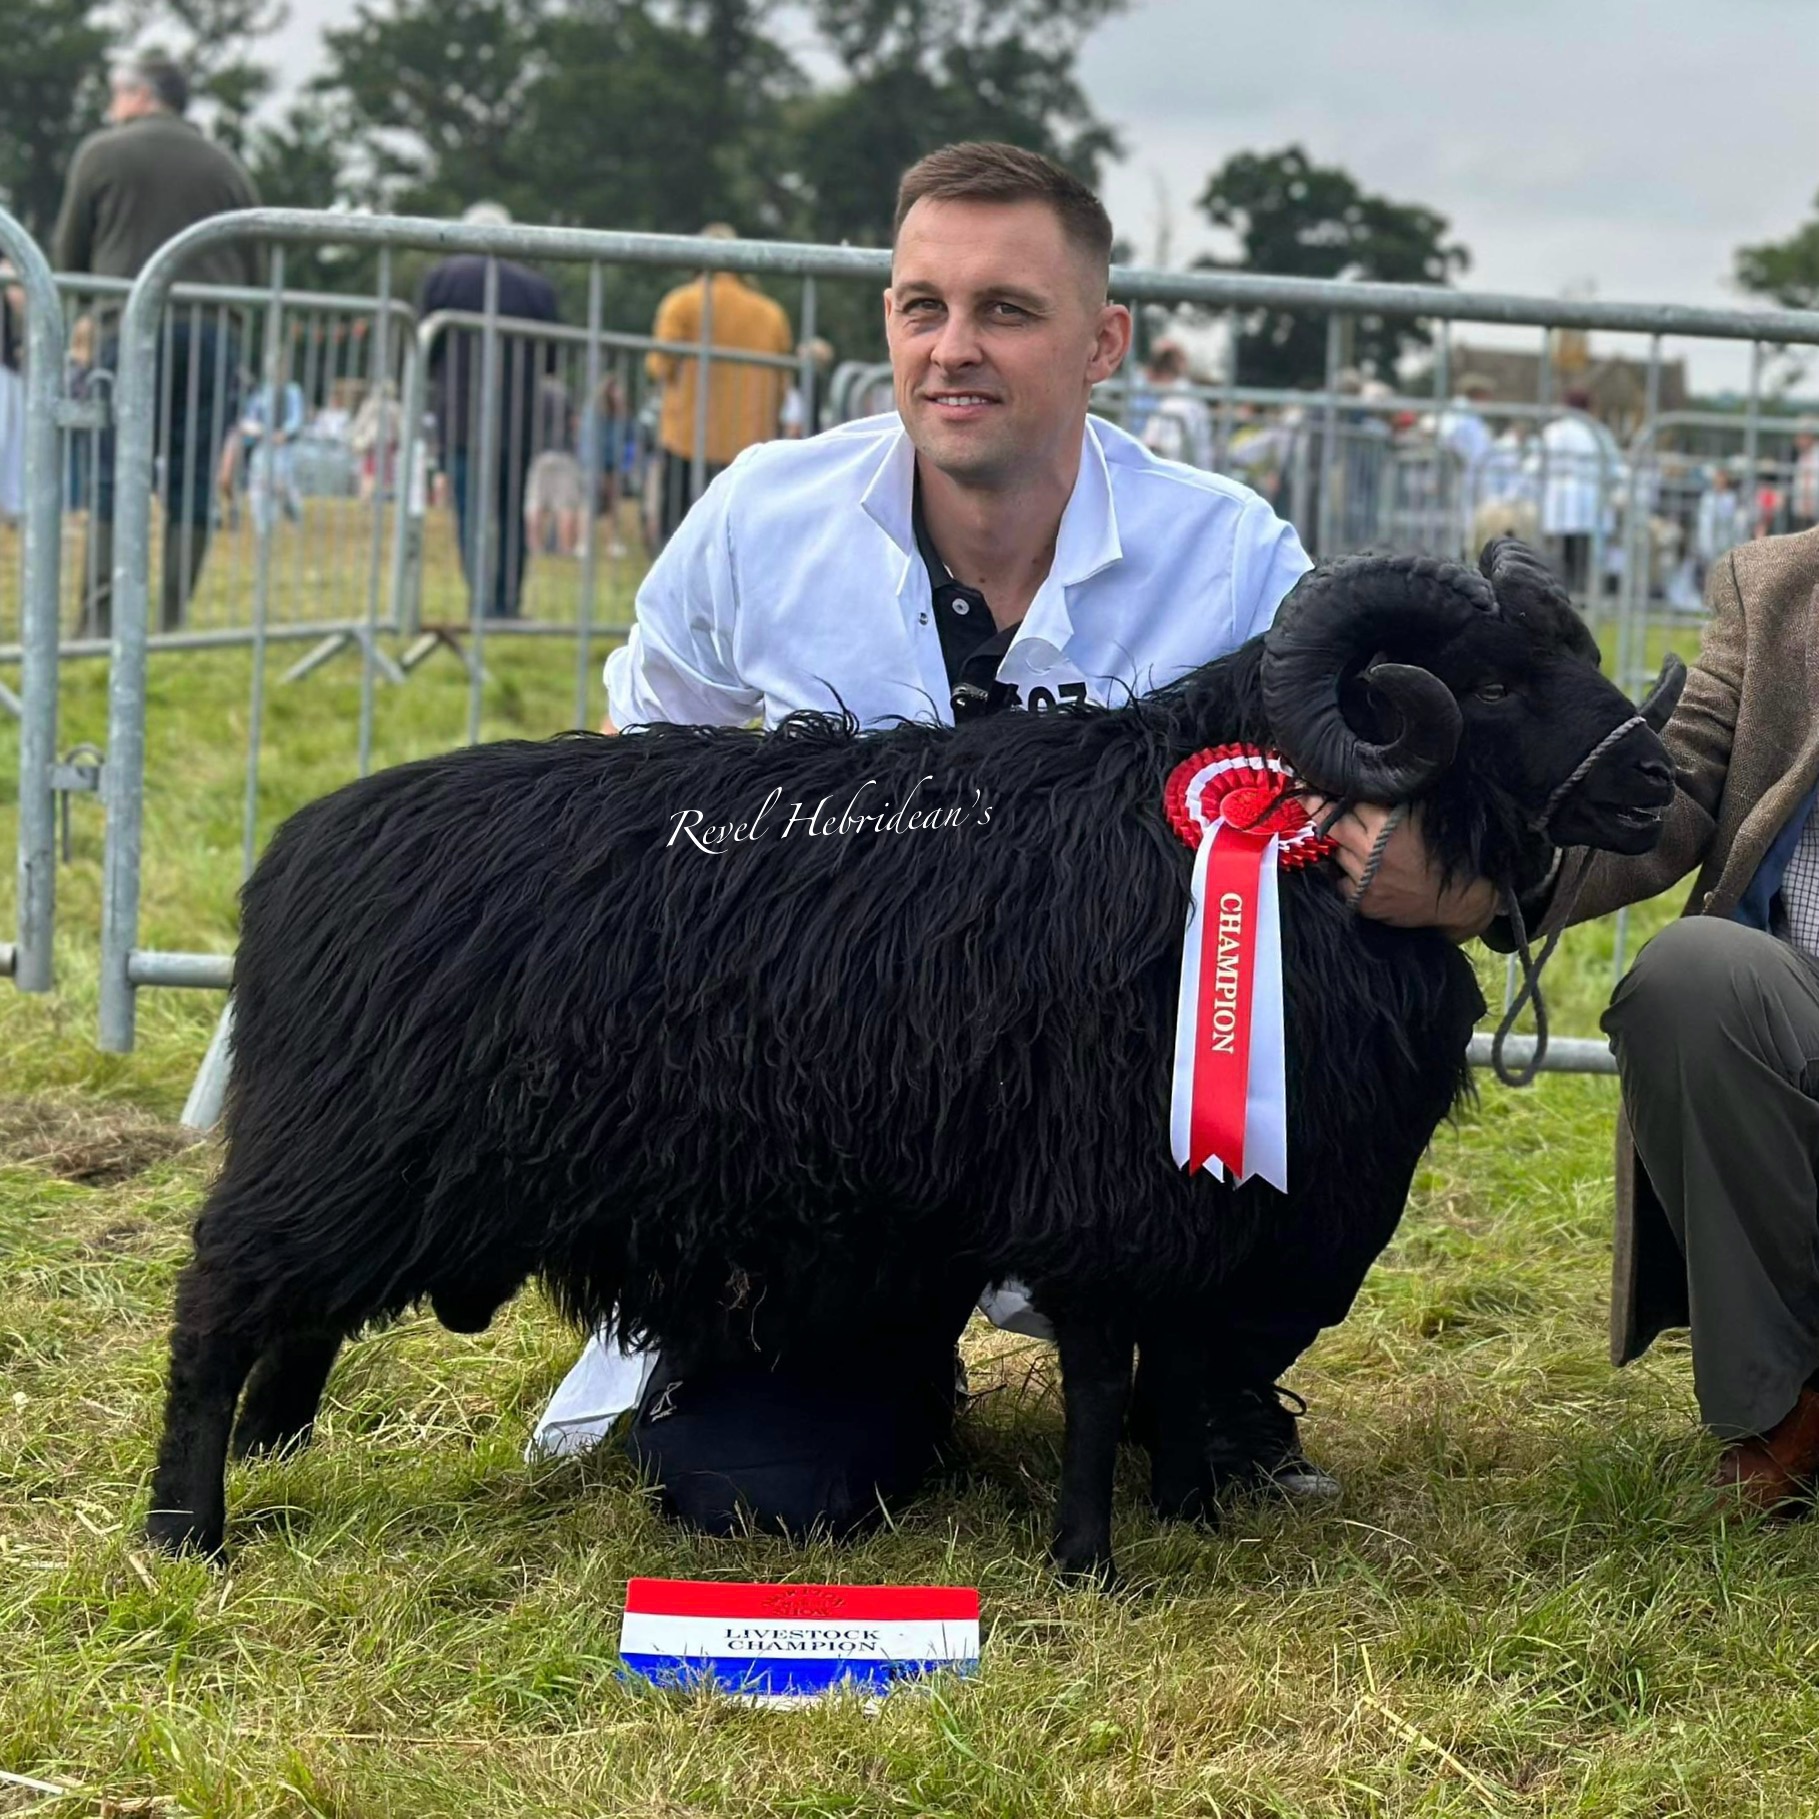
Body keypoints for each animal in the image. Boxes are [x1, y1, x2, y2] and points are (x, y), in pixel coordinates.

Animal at [149, 542, 1680, 1578]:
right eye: (1491, 679)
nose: (1655, 780)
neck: (1251, 835)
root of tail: (294, 852)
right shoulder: (1105, 1187)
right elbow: (1103, 1372)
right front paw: (1087, 1560)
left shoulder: (1214, 1190)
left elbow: (1187, 1357)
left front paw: (1191, 1511)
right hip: (345, 1153)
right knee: (219, 1300)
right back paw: (186, 1527)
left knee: (292, 1315)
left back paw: (277, 1446)